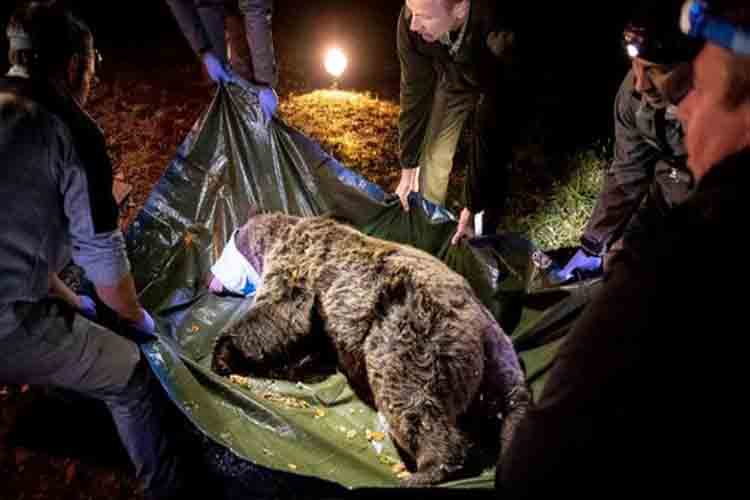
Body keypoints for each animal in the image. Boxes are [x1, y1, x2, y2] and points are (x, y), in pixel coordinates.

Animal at [211, 212, 530, 486]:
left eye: (224, 252)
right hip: (498, 364)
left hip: (409, 336)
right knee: (508, 407)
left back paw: (422, 470)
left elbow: (279, 315)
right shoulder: (322, 322)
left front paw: (222, 355)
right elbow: (308, 342)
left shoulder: (298, 268)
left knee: (412, 402)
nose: (212, 281)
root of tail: (482, 326)